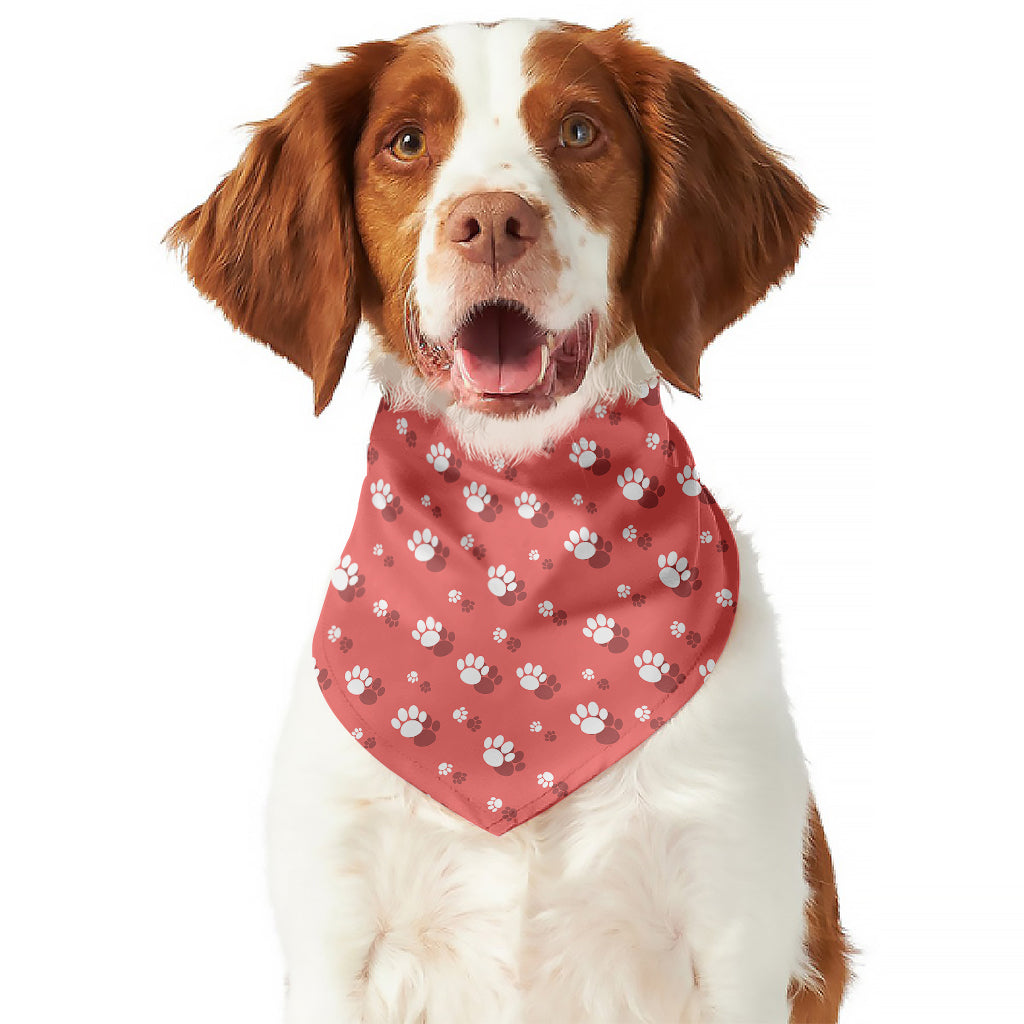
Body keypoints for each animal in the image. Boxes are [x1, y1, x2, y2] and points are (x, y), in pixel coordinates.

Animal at [167, 16, 851, 1024]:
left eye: (579, 131)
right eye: (406, 142)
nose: (492, 221)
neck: (520, 530)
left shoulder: (737, 922)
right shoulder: (336, 929)